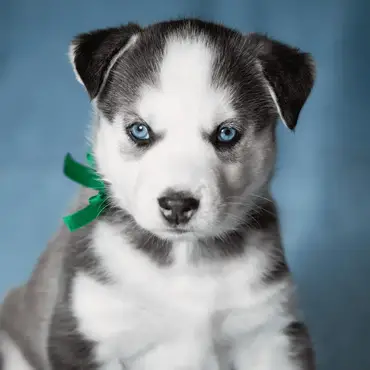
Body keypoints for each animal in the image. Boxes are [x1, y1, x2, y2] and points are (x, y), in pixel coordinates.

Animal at [0, 18, 316, 370]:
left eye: (226, 133)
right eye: (140, 130)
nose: (177, 204)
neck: (183, 261)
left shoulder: (271, 331)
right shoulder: (86, 334)